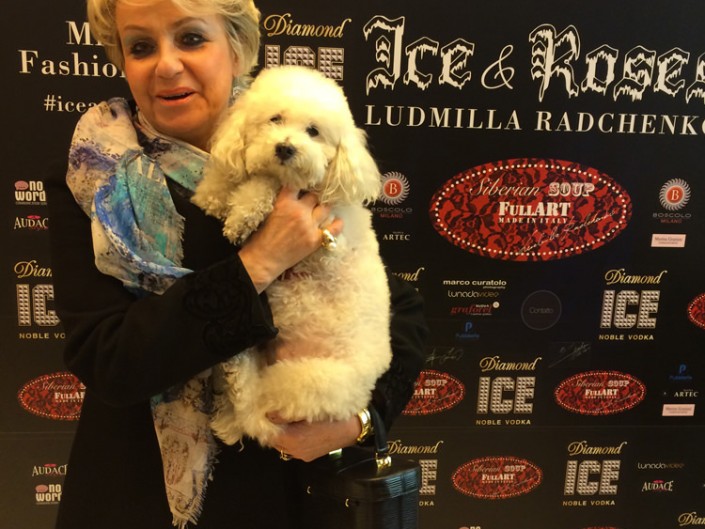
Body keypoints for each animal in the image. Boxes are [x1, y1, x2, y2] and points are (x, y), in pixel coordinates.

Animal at [192, 65, 392, 447]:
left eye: (313, 131)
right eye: (275, 119)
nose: (285, 148)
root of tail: (358, 396)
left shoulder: (326, 238)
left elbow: (266, 184)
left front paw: (243, 211)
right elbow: (235, 176)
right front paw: (214, 192)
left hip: (304, 380)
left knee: (258, 412)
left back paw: (236, 376)